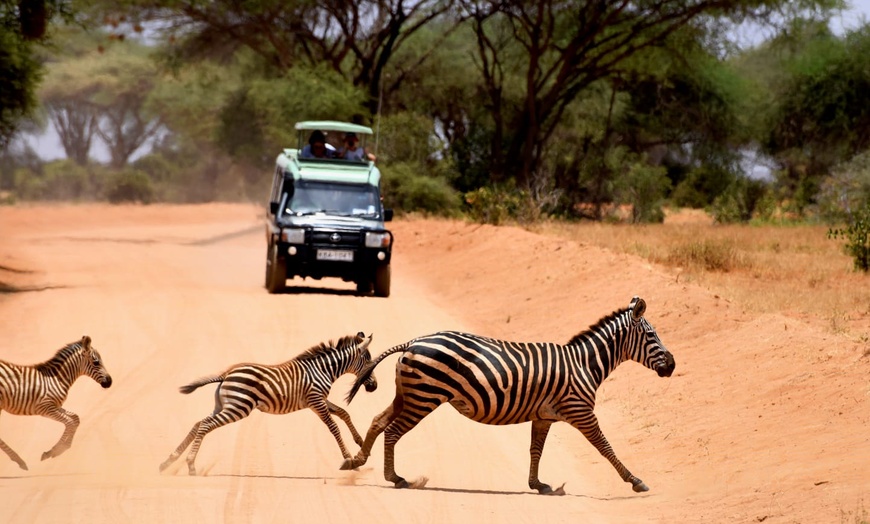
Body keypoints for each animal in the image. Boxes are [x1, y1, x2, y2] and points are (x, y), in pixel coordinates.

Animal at [0, 336, 112, 470]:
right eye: (96, 362)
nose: (110, 382)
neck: (57, 379)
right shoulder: (45, 408)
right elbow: (70, 422)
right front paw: (55, 451)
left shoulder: (55, 406)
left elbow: (75, 418)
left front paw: (61, 449)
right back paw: (19, 460)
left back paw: (18, 460)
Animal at [160, 334, 378, 476]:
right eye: (368, 361)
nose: (374, 386)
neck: (323, 370)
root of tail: (226, 375)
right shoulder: (316, 401)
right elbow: (334, 427)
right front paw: (350, 460)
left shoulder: (319, 400)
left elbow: (344, 413)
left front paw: (360, 442)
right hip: (238, 407)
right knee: (205, 424)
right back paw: (190, 465)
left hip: (224, 405)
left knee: (199, 423)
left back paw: (168, 461)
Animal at [344, 296, 676, 494]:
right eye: (651, 336)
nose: (672, 366)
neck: (584, 363)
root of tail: (412, 341)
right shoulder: (581, 412)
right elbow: (605, 447)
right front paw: (635, 481)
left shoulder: (544, 417)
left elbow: (535, 450)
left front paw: (538, 484)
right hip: (424, 398)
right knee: (392, 431)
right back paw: (397, 478)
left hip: (408, 394)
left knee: (378, 421)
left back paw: (357, 461)